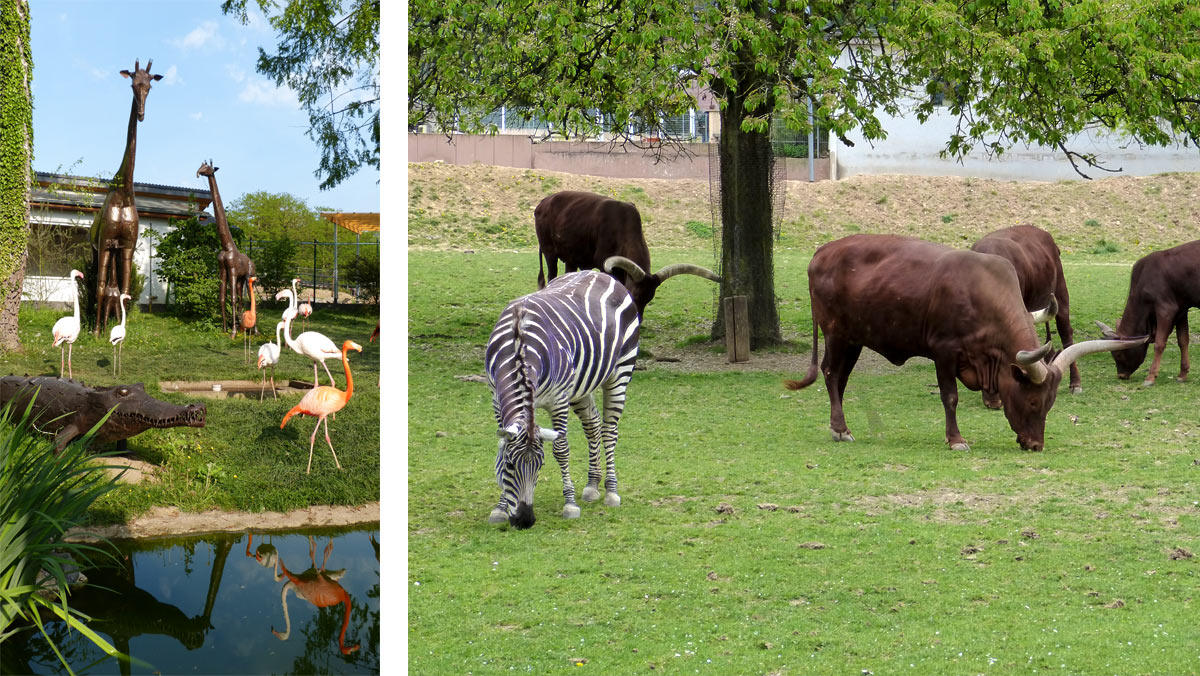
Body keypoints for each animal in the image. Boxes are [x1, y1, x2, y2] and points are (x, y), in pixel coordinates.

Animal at [482, 259, 715, 528]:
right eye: (509, 465)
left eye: (540, 465)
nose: (525, 521)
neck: (519, 343)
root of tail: (601, 275)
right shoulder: (496, 398)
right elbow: (502, 446)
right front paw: (500, 508)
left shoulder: (558, 399)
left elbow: (561, 449)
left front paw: (570, 504)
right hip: (581, 386)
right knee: (593, 426)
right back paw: (592, 485)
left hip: (620, 373)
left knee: (609, 431)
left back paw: (611, 491)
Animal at [537, 192, 720, 316]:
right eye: (635, 296)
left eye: (649, 299)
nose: (639, 320)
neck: (622, 226)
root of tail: (543, 202)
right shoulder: (605, 266)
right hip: (549, 251)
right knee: (552, 274)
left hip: (571, 257)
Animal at [1099, 238, 1200, 386]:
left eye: (1118, 354)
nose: (1121, 375)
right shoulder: (1182, 310)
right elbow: (1183, 341)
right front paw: (1182, 374)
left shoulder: (1166, 309)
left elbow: (1159, 343)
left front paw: (1150, 377)